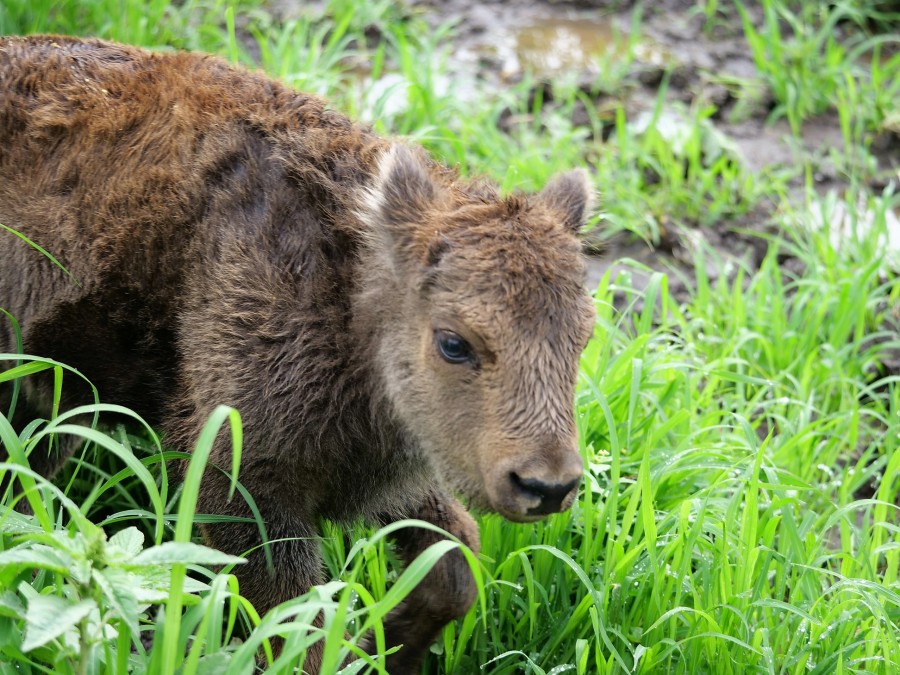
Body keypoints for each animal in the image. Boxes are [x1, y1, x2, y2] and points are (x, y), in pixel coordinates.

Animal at [0, 35, 596, 672]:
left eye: (582, 336)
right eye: (453, 342)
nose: (547, 486)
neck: (346, 293)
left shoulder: (385, 461)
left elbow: (453, 562)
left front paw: (384, 649)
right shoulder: (244, 482)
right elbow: (299, 631)